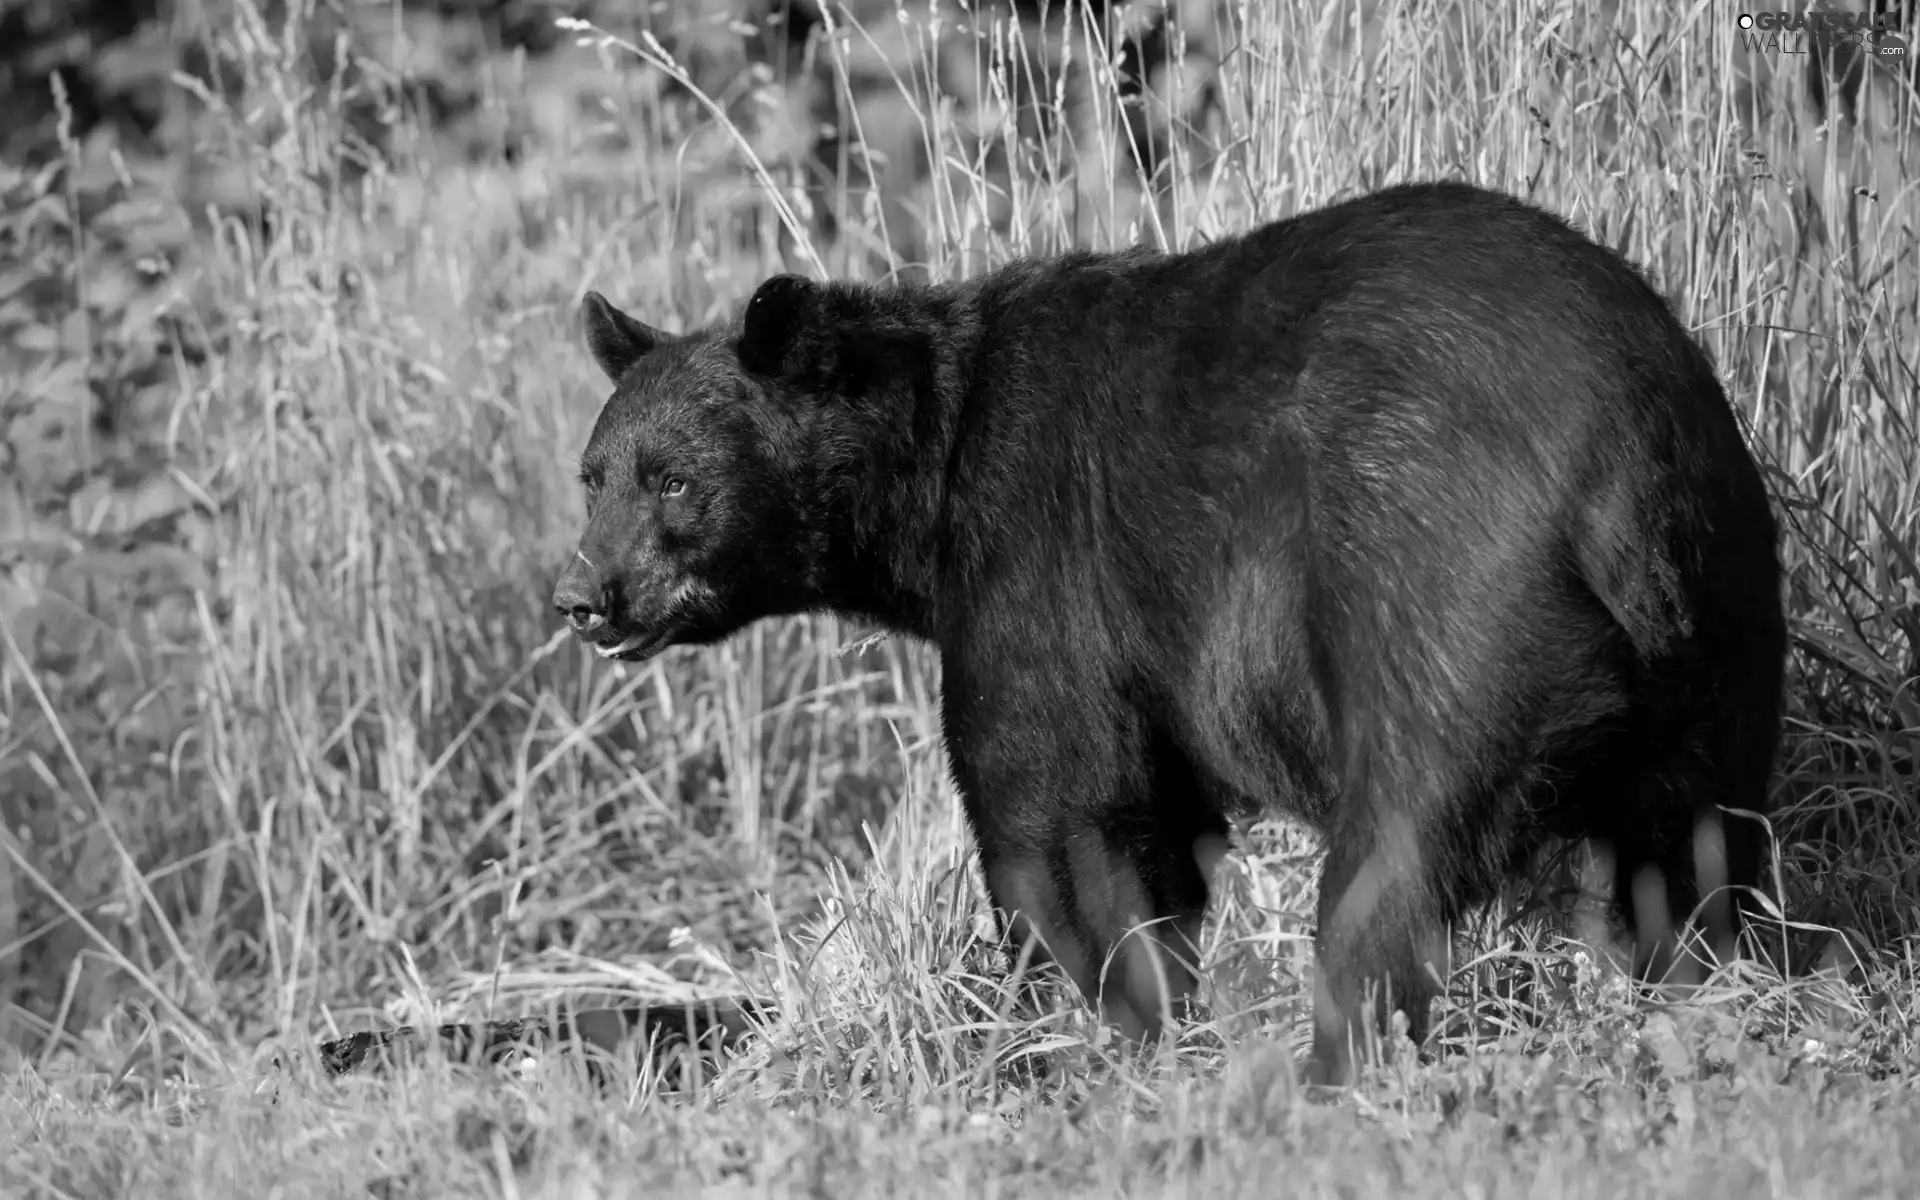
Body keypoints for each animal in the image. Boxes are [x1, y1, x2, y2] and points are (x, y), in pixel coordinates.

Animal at [552, 177, 1781, 1082]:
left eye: (673, 480)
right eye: (593, 474)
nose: (583, 598)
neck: (929, 478)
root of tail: (1616, 469)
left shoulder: (1041, 557)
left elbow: (1062, 808)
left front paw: (1097, 1027)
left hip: (1443, 598)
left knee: (1397, 853)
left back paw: (1331, 1064)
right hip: (1721, 627)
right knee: (1696, 854)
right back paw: (1710, 995)